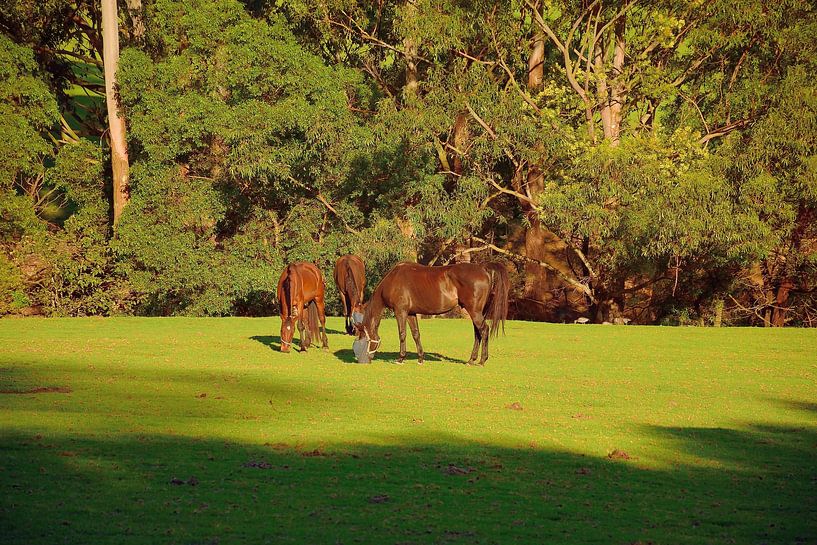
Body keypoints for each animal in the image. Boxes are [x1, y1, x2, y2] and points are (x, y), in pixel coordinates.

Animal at [352, 262, 509, 365]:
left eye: (362, 340)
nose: (362, 361)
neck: (393, 280)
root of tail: (483, 268)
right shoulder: (411, 314)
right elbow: (416, 334)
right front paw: (420, 358)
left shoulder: (400, 312)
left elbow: (402, 334)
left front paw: (400, 358)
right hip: (476, 312)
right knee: (478, 333)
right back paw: (471, 360)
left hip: (475, 312)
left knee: (484, 330)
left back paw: (482, 360)